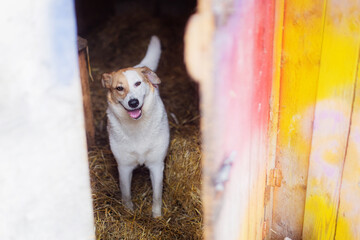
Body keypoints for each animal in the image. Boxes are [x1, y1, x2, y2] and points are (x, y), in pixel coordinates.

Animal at [100, 35, 169, 218]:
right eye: (119, 88)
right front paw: (128, 212)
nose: (133, 103)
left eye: (138, 83)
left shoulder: (156, 165)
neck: (137, 126)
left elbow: (157, 196)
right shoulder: (124, 167)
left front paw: (157, 217)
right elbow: (126, 194)